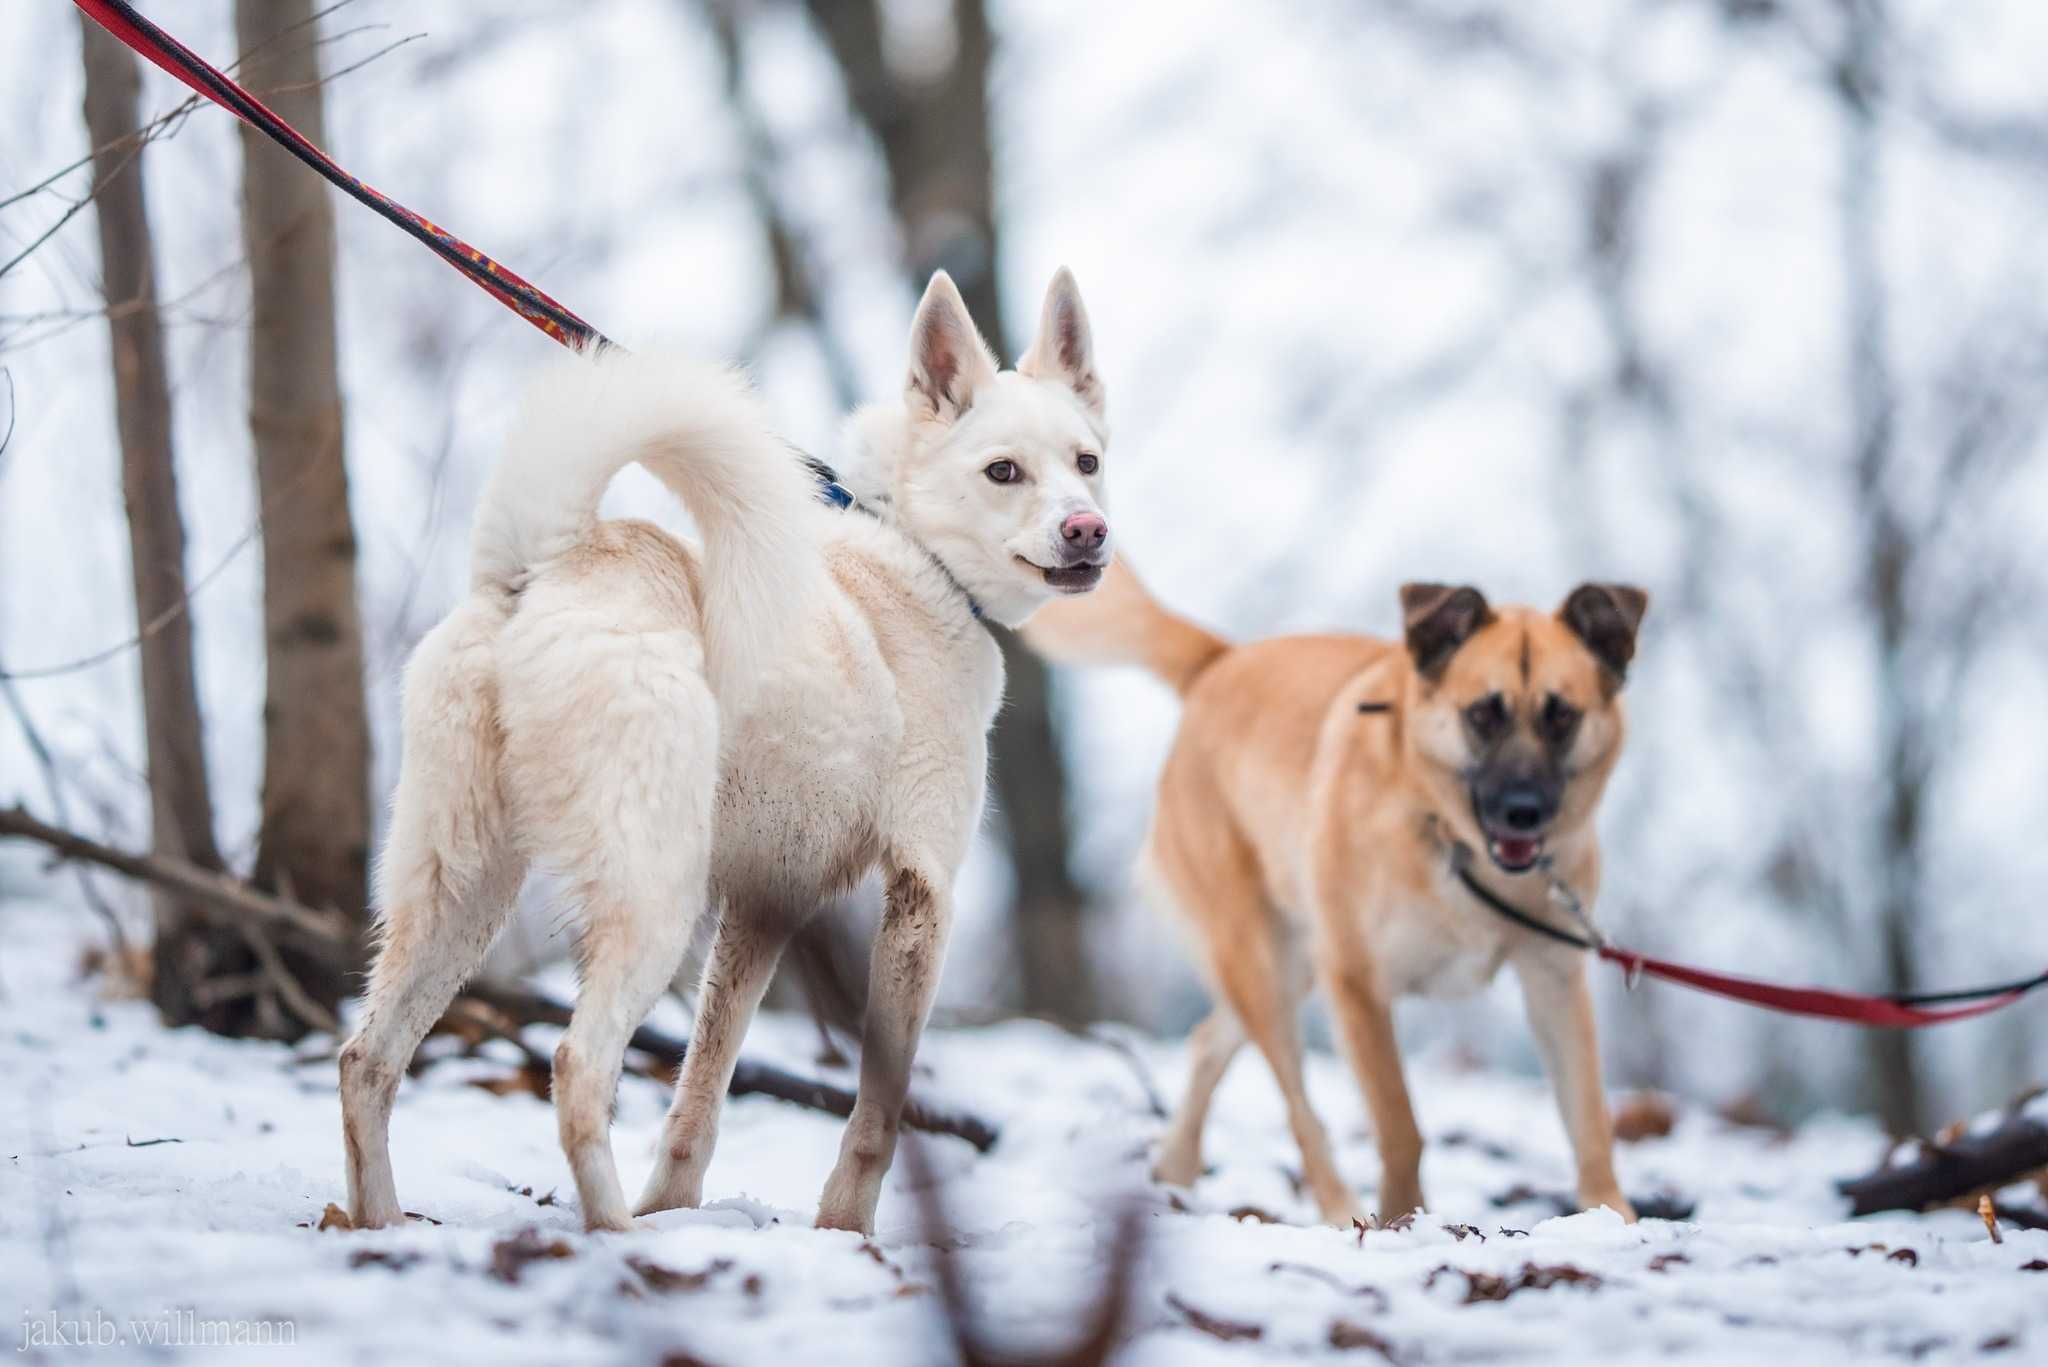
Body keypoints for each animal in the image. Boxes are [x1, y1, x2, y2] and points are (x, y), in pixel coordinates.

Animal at [344, 270, 1114, 1237]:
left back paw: (376, 1222)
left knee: (366, 1058)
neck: (916, 554)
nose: (1088, 530)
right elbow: (877, 1111)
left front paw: (679, 1204)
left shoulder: (762, 905)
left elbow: (701, 1091)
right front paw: (846, 1233)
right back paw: (617, 1237)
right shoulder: (922, 893)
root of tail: (548, 565)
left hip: (457, 893)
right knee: (576, 1065)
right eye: (1003, 471)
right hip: (651, 901)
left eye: (1086, 462)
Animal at [1024, 561, 1646, 1221]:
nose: (1523, 812)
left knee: (1209, 1041)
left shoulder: (1554, 982)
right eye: (1483, 714)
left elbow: (1589, 1119)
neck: (1448, 839)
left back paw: (1176, 1170)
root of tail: (1221, 662)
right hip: (1262, 966)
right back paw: (1339, 1210)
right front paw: (1402, 1221)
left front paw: (1610, 1216)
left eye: (1561, 716)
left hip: (1289, 967)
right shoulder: (1356, 983)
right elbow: (1400, 1127)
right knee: (1300, 1111)